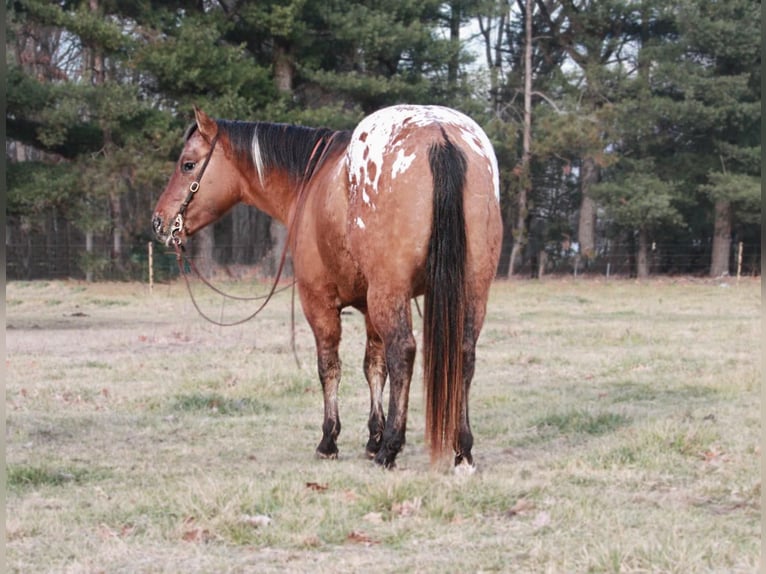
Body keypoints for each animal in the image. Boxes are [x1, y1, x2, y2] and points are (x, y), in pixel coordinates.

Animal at [153, 104, 508, 472]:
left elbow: (329, 367)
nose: (160, 221)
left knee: (404, 352)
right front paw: (372, 437)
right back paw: (461, 449)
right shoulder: (369, 307)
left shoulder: (319, 300)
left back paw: (391, 449)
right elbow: (373, 367)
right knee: (464, 353)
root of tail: (440, 136)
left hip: (391, 293)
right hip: (471, 291)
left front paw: (331, 440)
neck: (312, 182)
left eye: (188, 164)